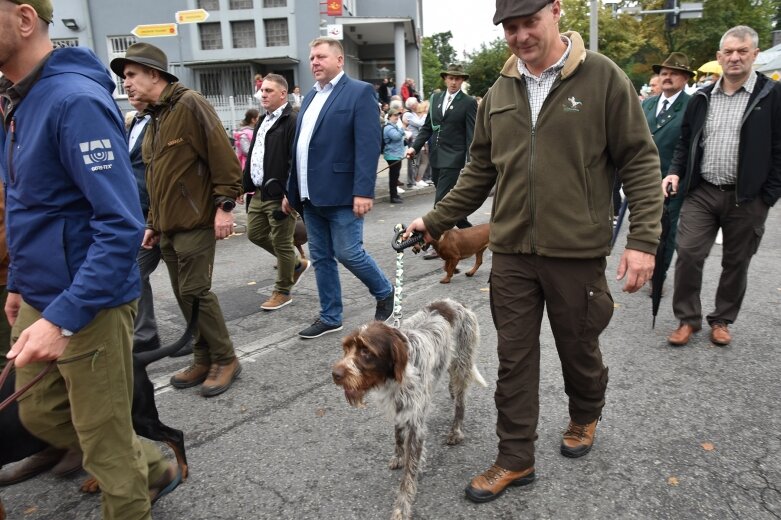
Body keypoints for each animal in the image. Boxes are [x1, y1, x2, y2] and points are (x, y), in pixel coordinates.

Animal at [330, 298, 488, 516]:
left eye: (365, 351)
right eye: (346, 348)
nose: (335, 374)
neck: (394, 378)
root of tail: (456, 303)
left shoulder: (416, 424)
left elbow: (409, 473)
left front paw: (401, 507)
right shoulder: (399, 407)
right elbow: (397, 435)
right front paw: (398, 456)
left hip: (462, 363)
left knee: (461, 402)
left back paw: (456, 430)